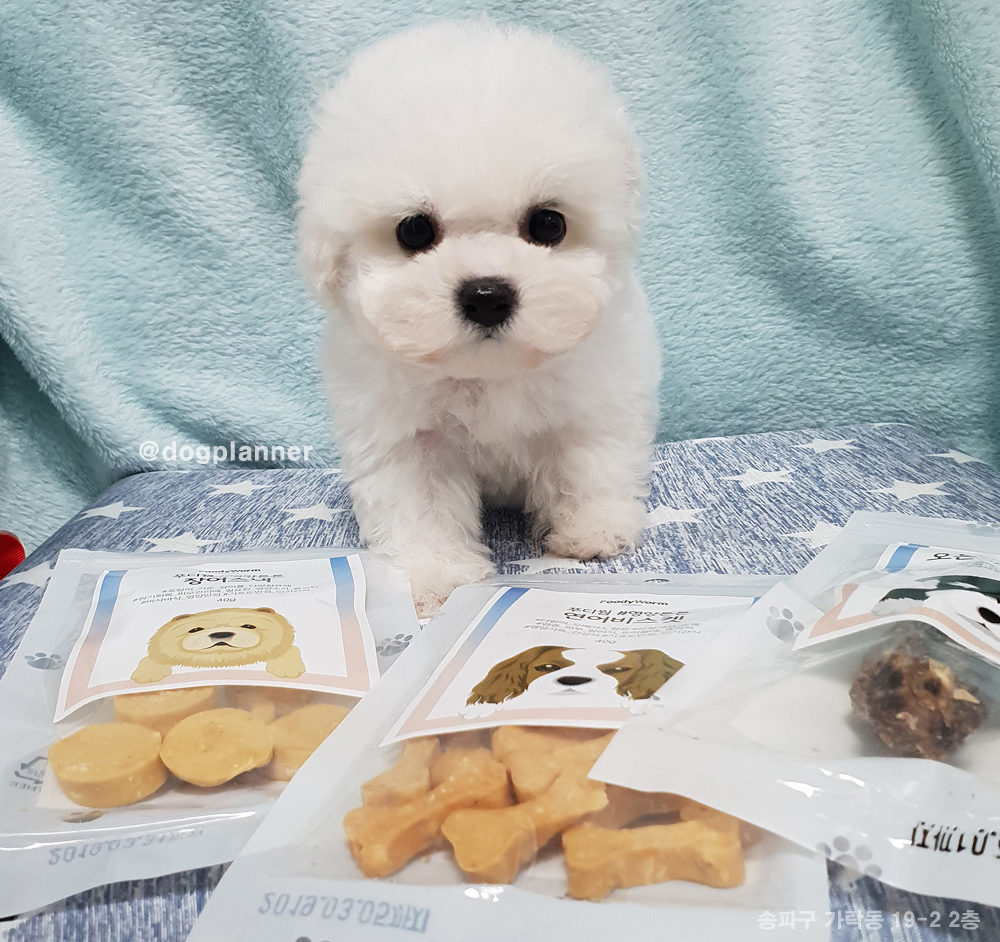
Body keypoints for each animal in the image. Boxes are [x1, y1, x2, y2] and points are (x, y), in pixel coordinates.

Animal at [131, 606, 306, 683]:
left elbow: (292, 650)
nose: (221, 634)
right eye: (195, 630)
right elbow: (148, 660)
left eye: (248, 626)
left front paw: (286, 669)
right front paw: (147, 674)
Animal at [298, 20, 660, 615]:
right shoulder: (405, 439)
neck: (488, 372)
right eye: (414, 231)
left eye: (548, 224)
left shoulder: (593, 396)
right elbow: (420, 505)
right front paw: (438, 574)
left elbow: (588, 460)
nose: (487, 294)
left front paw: (592, 529)